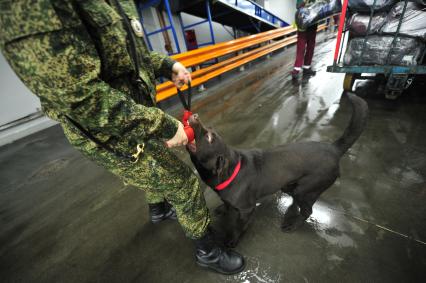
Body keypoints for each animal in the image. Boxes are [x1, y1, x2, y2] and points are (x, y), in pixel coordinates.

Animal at [188, 93, 368, 248]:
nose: (194, 115)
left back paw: (292, 225)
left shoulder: (247, 210)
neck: (232, 171)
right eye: (210, 131)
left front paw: (232, 240)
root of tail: (334, 149)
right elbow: (226, 203)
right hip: (292, 186)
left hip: (307, 189)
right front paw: (222, 208)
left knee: (307, 211)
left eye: (209, 138)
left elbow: (237, 227)